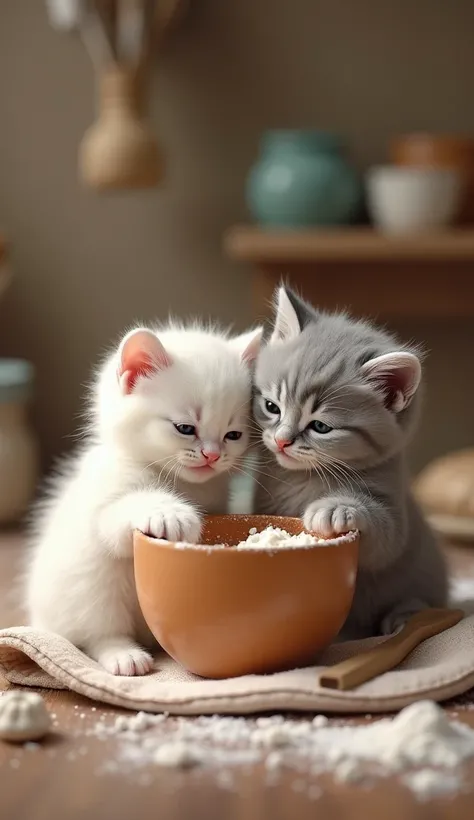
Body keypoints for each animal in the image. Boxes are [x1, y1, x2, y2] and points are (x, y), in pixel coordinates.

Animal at [25, 324, 262, 676]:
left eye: (233, 435)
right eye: (185, 428)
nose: (213, 455)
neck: (178, 481)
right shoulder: (104, 503)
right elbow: (118, 519)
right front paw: (170, 514)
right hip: (87, 589)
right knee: (98, 632)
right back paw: (124, 655)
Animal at [254, 288, 446, 640]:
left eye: (320, 427)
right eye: (272, 407)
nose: (282, 440)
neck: (305, 478)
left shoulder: (395, 518)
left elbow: (384, 539)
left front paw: (336, 509)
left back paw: (403, 617)